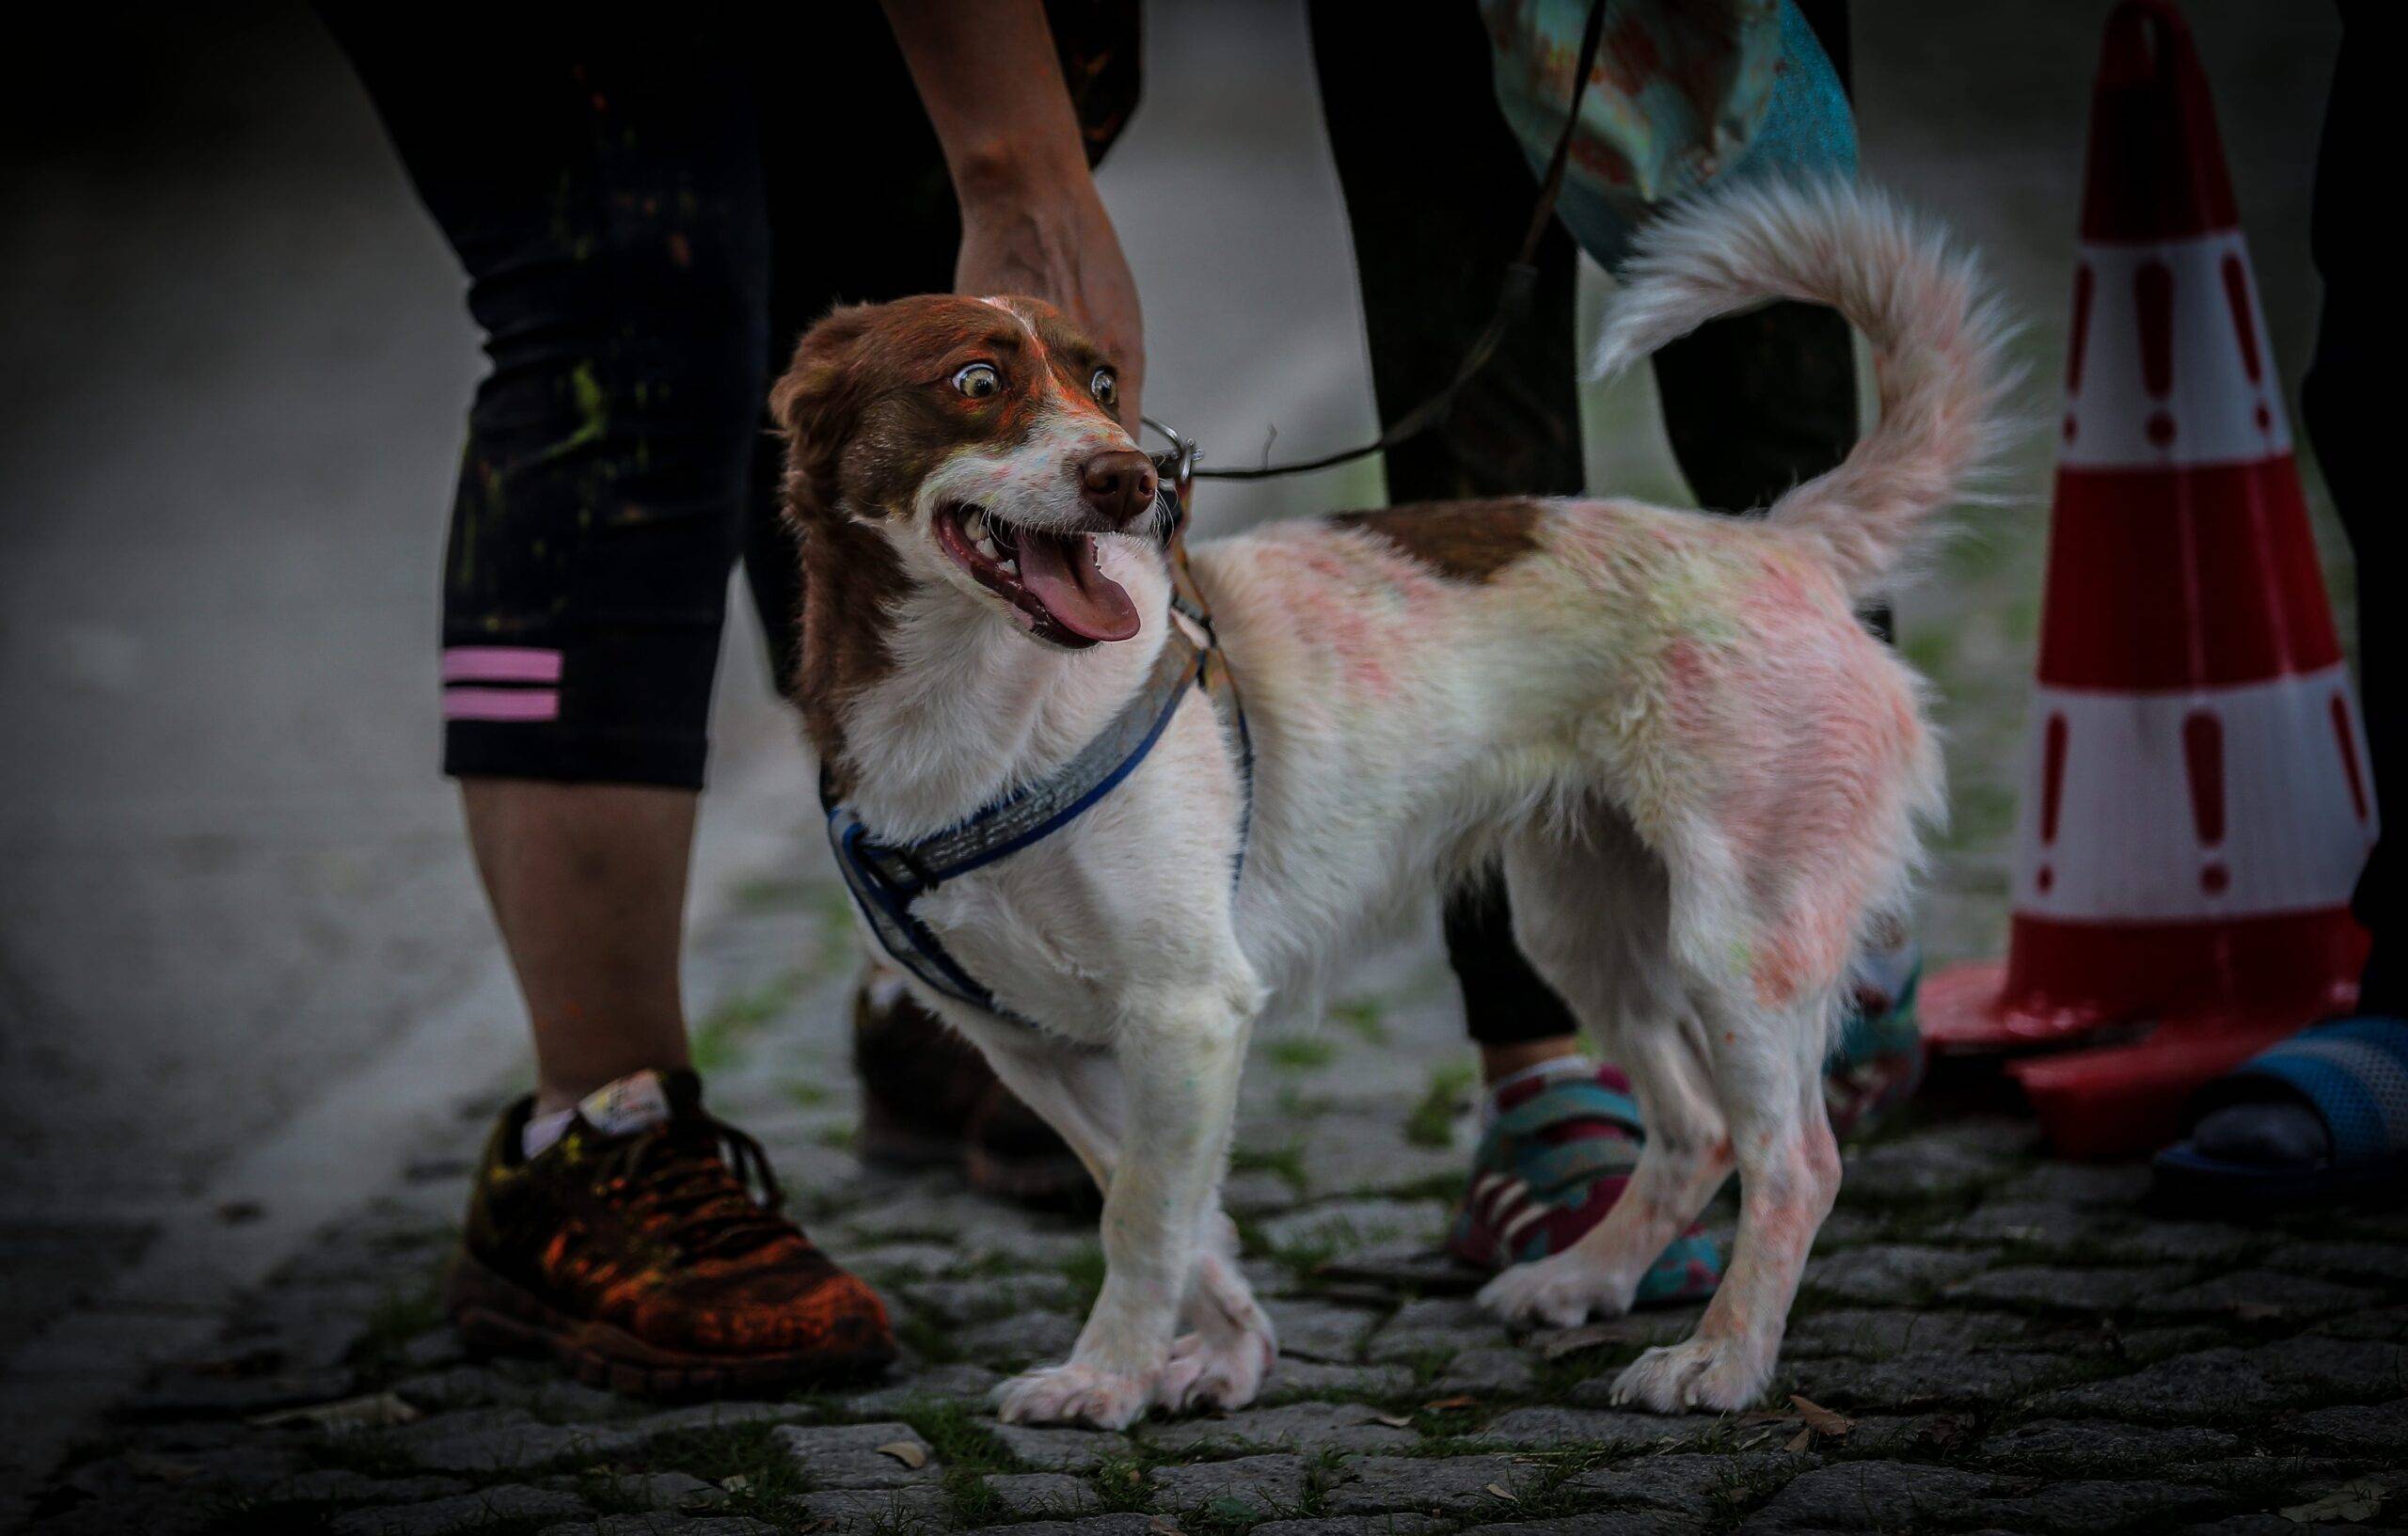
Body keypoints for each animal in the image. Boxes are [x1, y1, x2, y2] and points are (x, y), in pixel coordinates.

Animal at [770, 180, 2013, 1434]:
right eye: (976, 381)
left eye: (1105, 384)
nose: (1133, 480)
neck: (977, 715)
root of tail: (1781, 539)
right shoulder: (1040, 1050)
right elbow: (1174, 1209)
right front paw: (1229, 1356)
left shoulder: (1187, 1008)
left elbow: (1144, 1219)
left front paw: (1106, 1376)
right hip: (1585, 923)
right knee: (1696, 1127)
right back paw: (1586, 1277)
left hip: (1740, 941)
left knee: (1796, 1160)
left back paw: (1721, 1359)